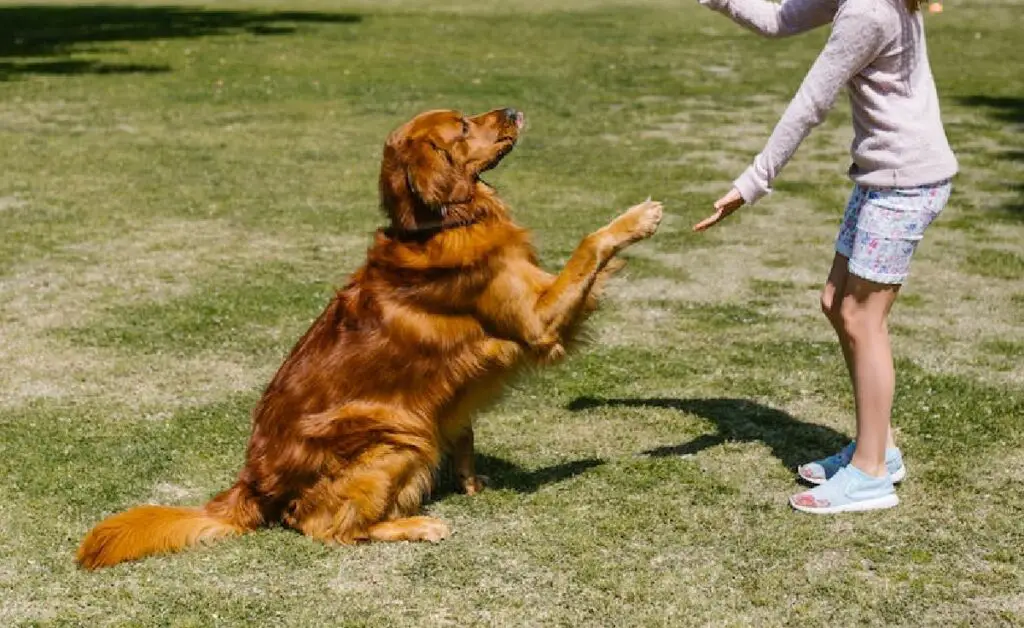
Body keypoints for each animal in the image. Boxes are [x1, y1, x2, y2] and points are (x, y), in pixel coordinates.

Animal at [75, 106, 659, 569]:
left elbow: (466, 431)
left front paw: (472, 482)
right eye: (463, 125)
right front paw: (634, 218)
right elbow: (589, 245)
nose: (514, 109)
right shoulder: (537, 321)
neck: (440, 223)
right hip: (396, 435)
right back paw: (416, 525)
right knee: (321, 526)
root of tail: (251, 485)